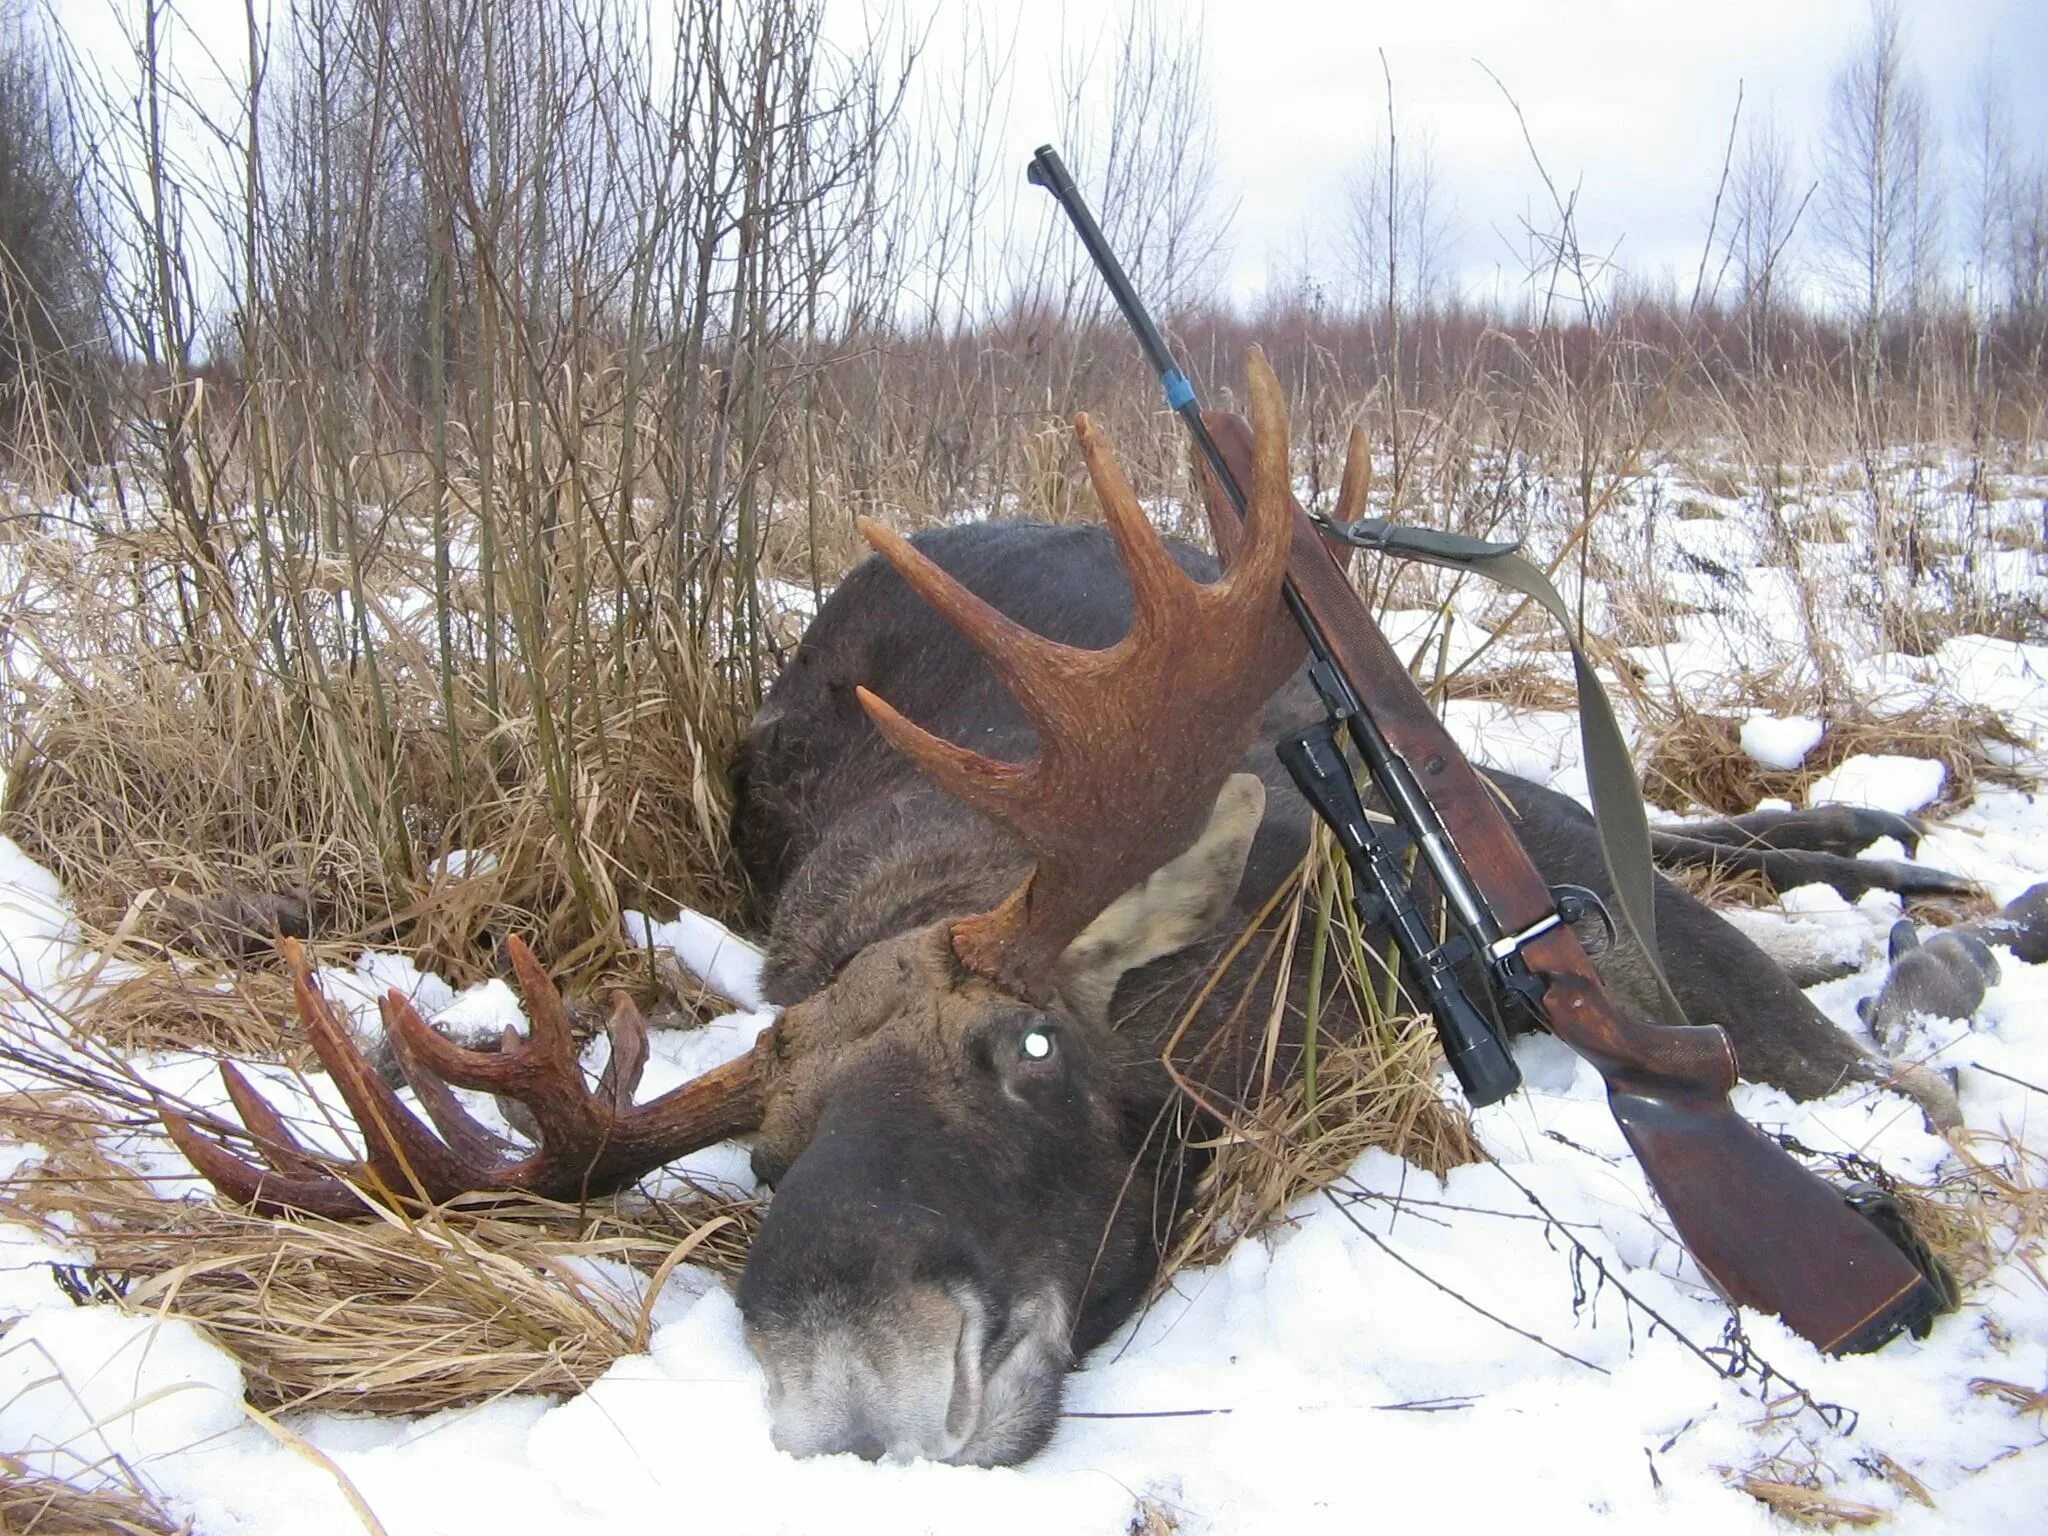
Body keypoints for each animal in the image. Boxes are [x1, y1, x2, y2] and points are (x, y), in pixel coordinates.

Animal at [172, 358, 1966, 1466]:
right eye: (766, 1161)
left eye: (1025, 1050)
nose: (863, 1401)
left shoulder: (1559, 872)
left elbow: (1780, 1040)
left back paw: (1895, 846)